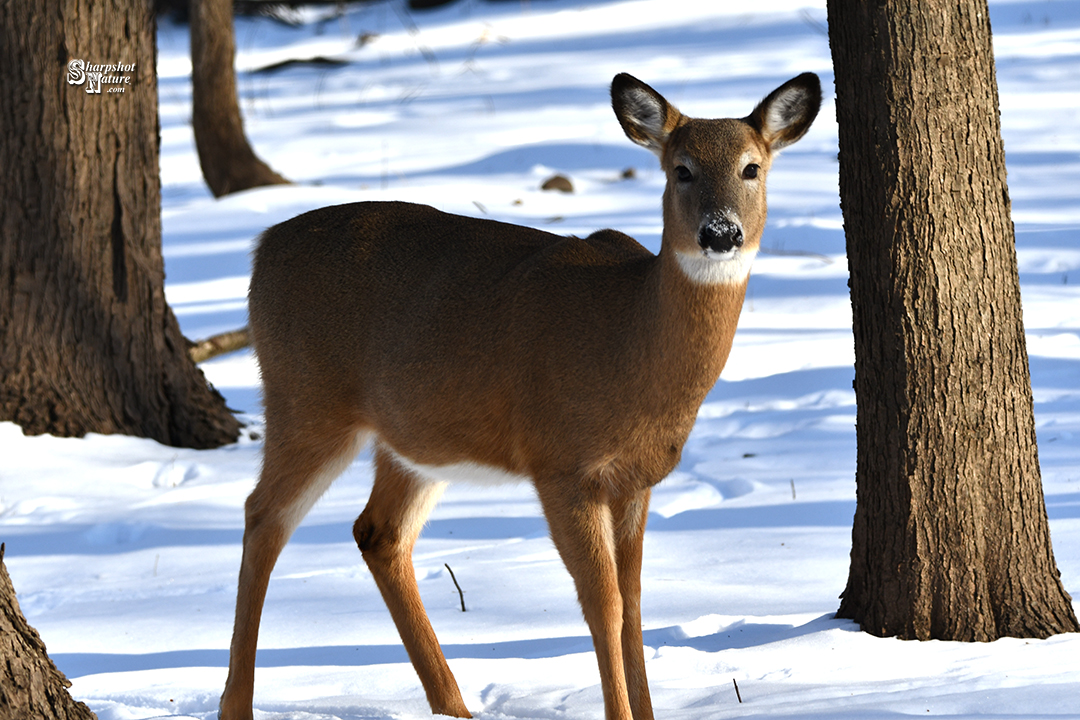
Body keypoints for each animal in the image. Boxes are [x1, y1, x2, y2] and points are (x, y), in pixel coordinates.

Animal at [223, 71, 820, 720]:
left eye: (751, 167)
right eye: (680, 169)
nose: (720, 233)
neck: (631, 343)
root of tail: (261, 249)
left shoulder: (635, 480)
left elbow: (635, 602)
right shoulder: (562, 464)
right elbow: (604, 605)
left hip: (412, 439)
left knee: (378, 533)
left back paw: (453, 706)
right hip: (304, 399)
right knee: (263, 518)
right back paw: (236, 704)